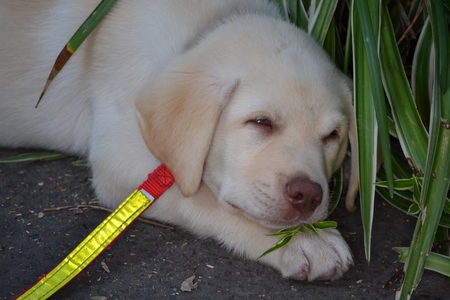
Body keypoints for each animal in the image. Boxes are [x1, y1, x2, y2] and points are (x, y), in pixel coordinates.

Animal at [0, 0, 358, 282]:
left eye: (332, 136)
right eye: (261, 122)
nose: (309, 196)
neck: (206, 26)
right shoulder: (119, 158)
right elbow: (201, 199)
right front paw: (304, 241)